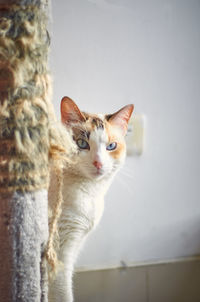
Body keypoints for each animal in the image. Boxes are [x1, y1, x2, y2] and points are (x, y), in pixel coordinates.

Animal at [47, 96, 134, 302]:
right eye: (81, 143)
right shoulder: (59, 255)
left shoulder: (75, 244)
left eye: (111, 146)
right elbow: (63, 294)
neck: (90, 193)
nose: (98, 163)